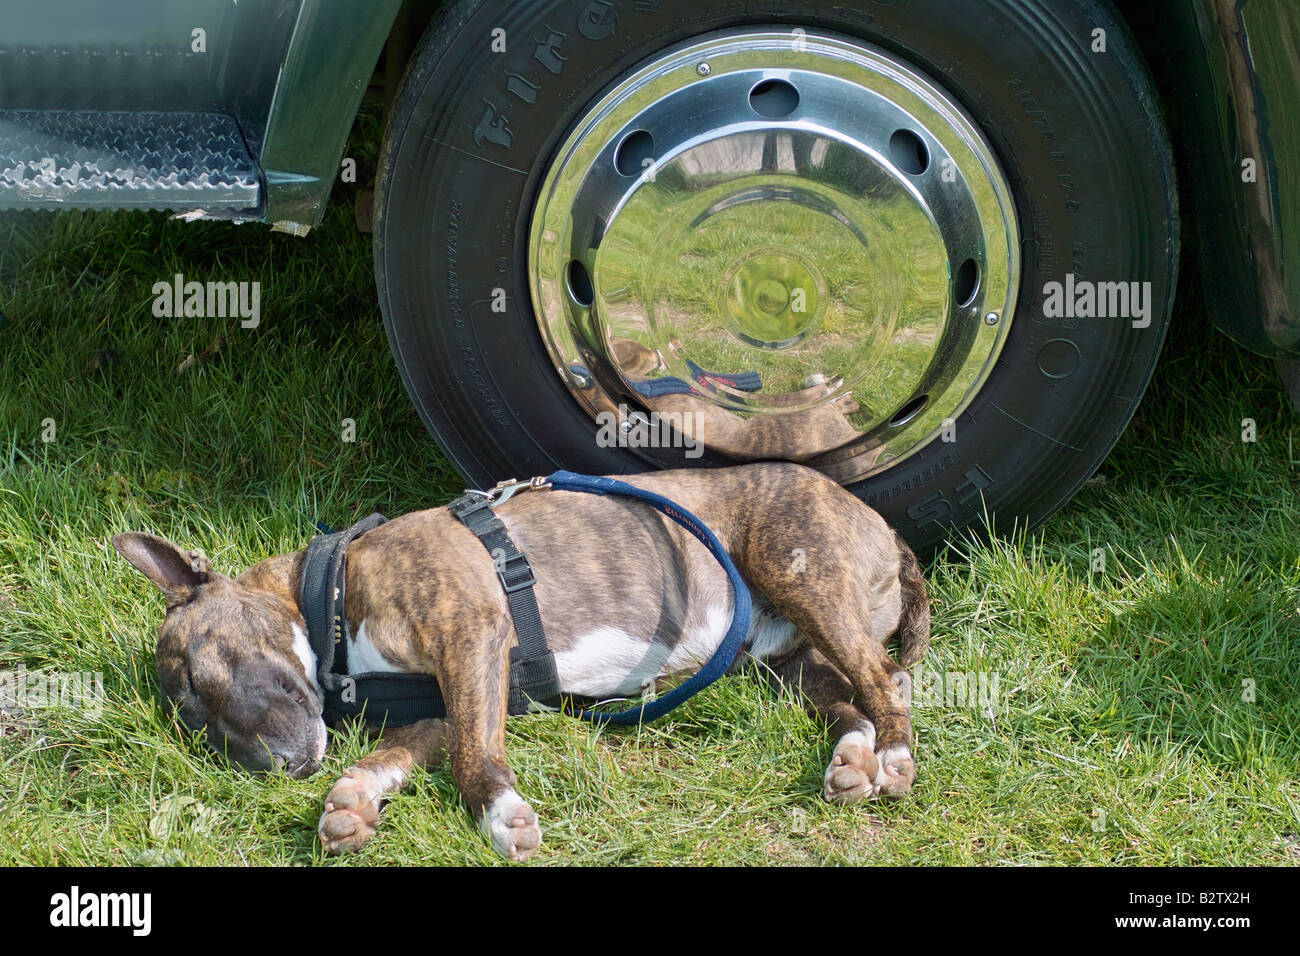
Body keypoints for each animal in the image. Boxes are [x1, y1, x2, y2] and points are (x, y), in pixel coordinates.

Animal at [111, 463, 925, 858]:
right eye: (196, 727)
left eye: (206, 674)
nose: (280, 769)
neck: (331, 597)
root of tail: (885, 528)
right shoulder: (464, 691)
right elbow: (404, 751)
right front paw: (351, 803)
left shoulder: (470, 637)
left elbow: (474, 758)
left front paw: (500, 816)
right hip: (785, 659)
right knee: (847, 697)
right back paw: (852, 759)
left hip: (804, 573)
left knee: (887, 683)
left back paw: (893, 754)